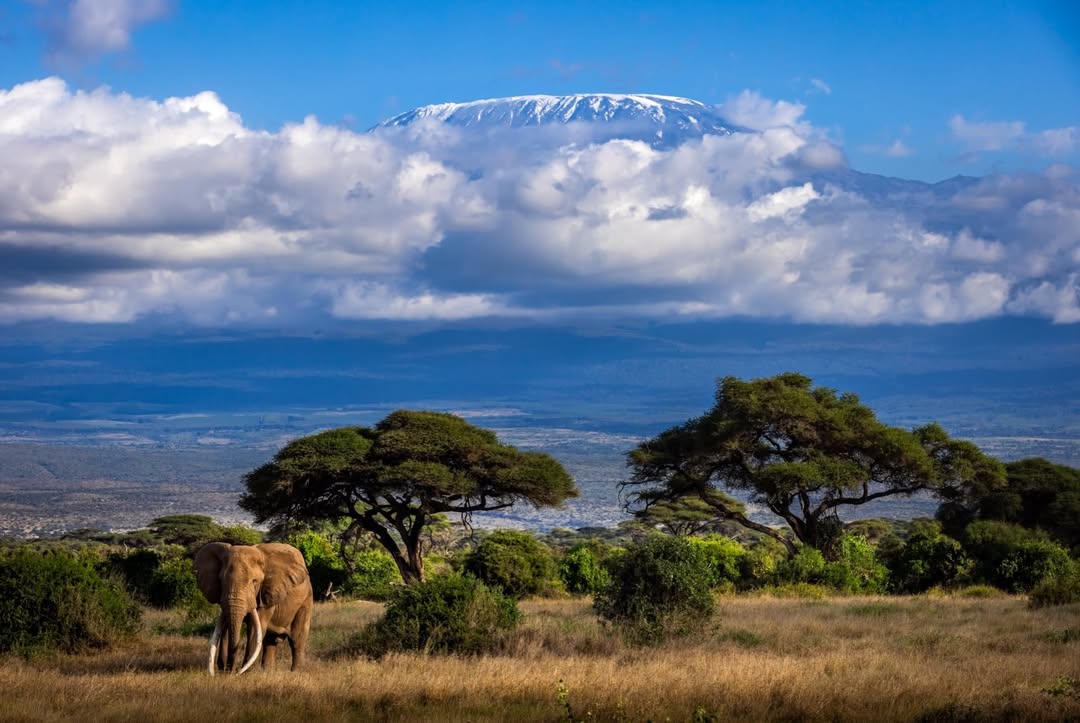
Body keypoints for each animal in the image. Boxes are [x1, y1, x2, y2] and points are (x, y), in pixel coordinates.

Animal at [194, 542, 313, 675]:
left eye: (254, 581)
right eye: (221, 580)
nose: (229, 670)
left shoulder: (266, 593)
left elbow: (254, 628)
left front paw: (244, 673)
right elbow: (225, 625)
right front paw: (226, 671)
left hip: (306, 600)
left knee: (297, 638)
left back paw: (296, 672)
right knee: (270, 641)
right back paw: (268, 673)